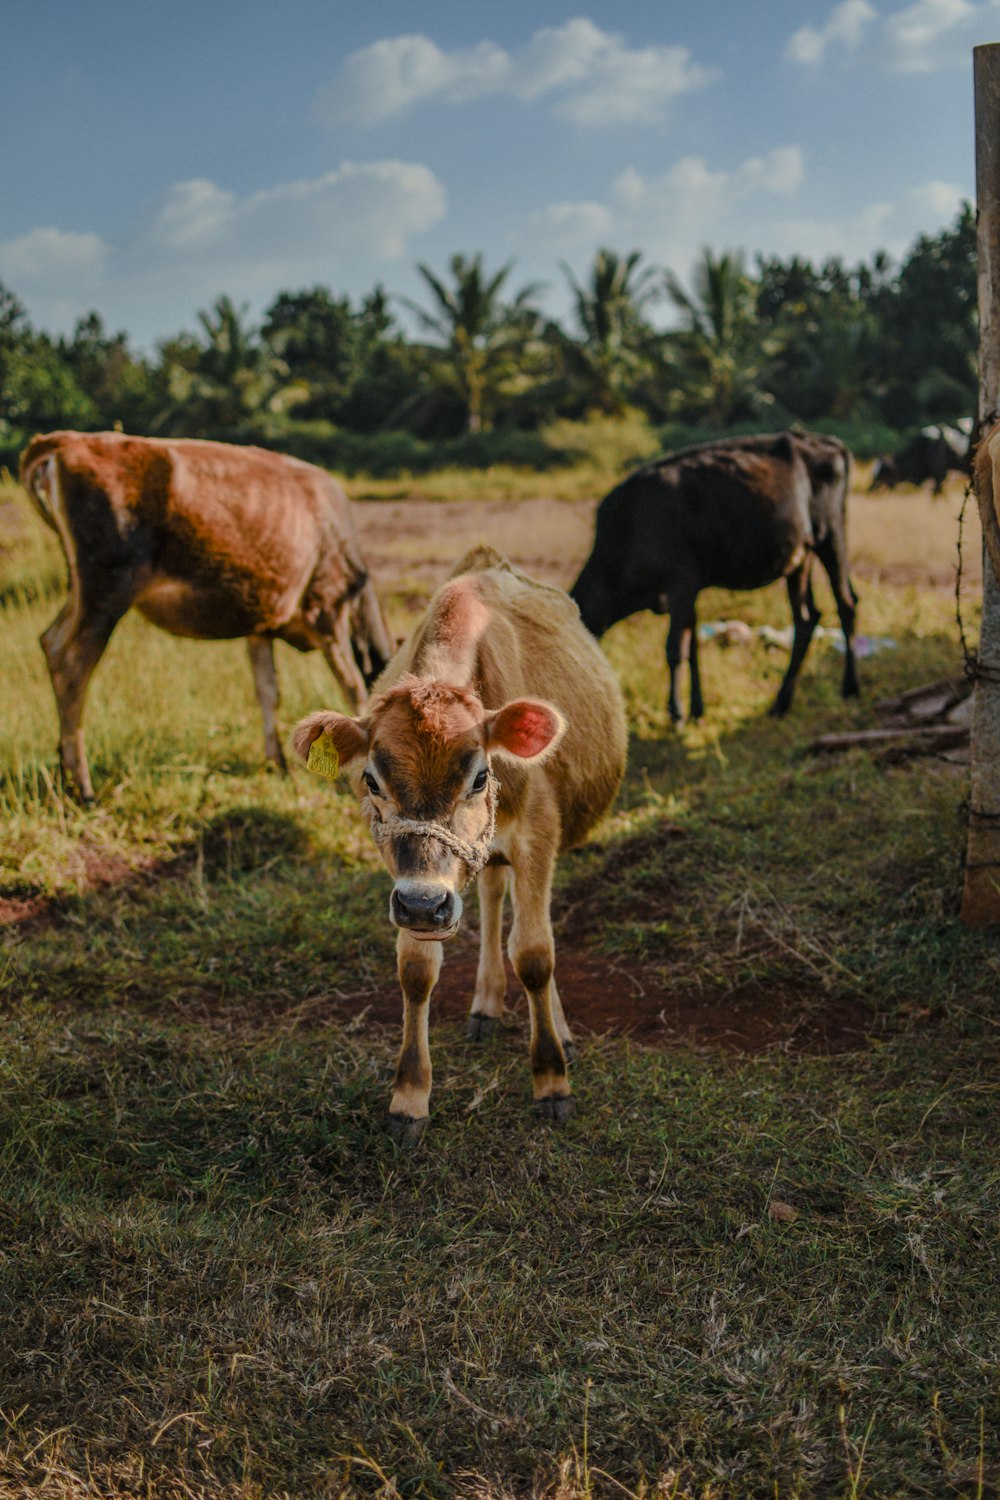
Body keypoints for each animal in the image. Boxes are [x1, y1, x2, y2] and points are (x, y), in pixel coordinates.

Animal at [18, 429, 395, 804]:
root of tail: (65, 439)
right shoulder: (328, 609)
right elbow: (353, 688)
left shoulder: (260, 623)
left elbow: (268, 690)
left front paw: (277, 763)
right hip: (107, 587)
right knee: (72, 661)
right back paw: (82, 786)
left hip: (83, 590)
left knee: (51, 641)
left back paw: (64, 773)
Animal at [293, 546, 629, 1140]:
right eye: (372, 780)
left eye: (479, 777)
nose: (425, 905)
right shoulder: (412, 886)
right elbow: (415, 969)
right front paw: (409, 1097)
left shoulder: (538, 833)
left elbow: (536, 953)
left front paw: (552, 1079)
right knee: (494, 894)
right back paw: (486, 1004)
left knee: (526, 920)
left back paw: (558, 1031)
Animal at [569, 432, 863, 723]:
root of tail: (827, 441)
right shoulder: (690, 588)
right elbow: (693, 646)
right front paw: (697, 710)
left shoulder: (680, 582)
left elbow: (675, 648)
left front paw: (676, 712)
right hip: (800, 556)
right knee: (806, 618)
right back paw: (781, 703)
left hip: (831, 536)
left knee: (846, 604)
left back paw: (850, 688)